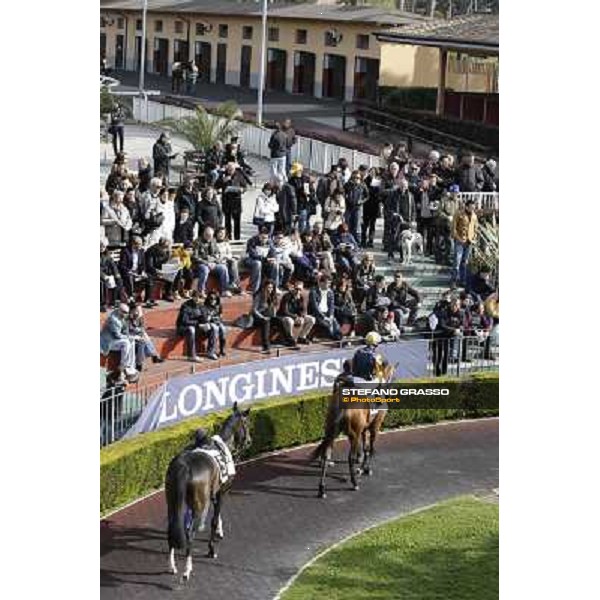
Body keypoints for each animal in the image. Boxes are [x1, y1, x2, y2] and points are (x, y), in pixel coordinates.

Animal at [164, 404, 251, 580]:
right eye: (247, 423)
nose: (249, 441)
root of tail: (184, 466)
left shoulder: (211, 494)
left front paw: (219, 532)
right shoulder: (221, 492)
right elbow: (214, 519)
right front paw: (212, 549)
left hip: (172, 502)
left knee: (172, 529)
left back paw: (172, 566)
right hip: (198, 504)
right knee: (190, 533)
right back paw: (187, 570)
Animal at [310, 360, 398, 496]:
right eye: (394, 376)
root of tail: (342, 405)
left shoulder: (363, 428)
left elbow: (366, 448)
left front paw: (362, 465)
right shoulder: (375, 425)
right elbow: (370, 448)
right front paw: (365, 469)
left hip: (332, 431)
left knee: (326, 455)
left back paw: (322, 488)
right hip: (354, 434)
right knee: (350, 458)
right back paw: (354, 483)